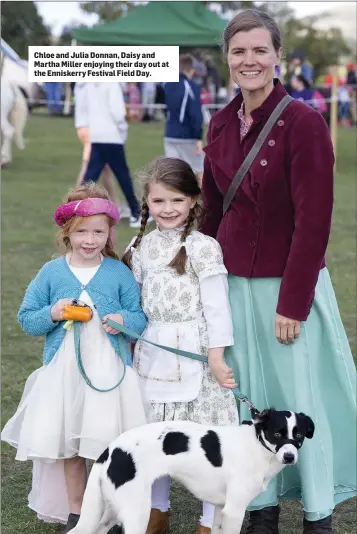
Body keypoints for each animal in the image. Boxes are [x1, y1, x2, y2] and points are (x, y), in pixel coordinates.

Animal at [71, 412, 312, 532]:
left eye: (299, 435)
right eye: (277, 434)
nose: (289, 457)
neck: (256, 445)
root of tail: (110, 450)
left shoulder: (220, 509)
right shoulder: (234, 511)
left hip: (113, 510)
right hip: (136, 512)